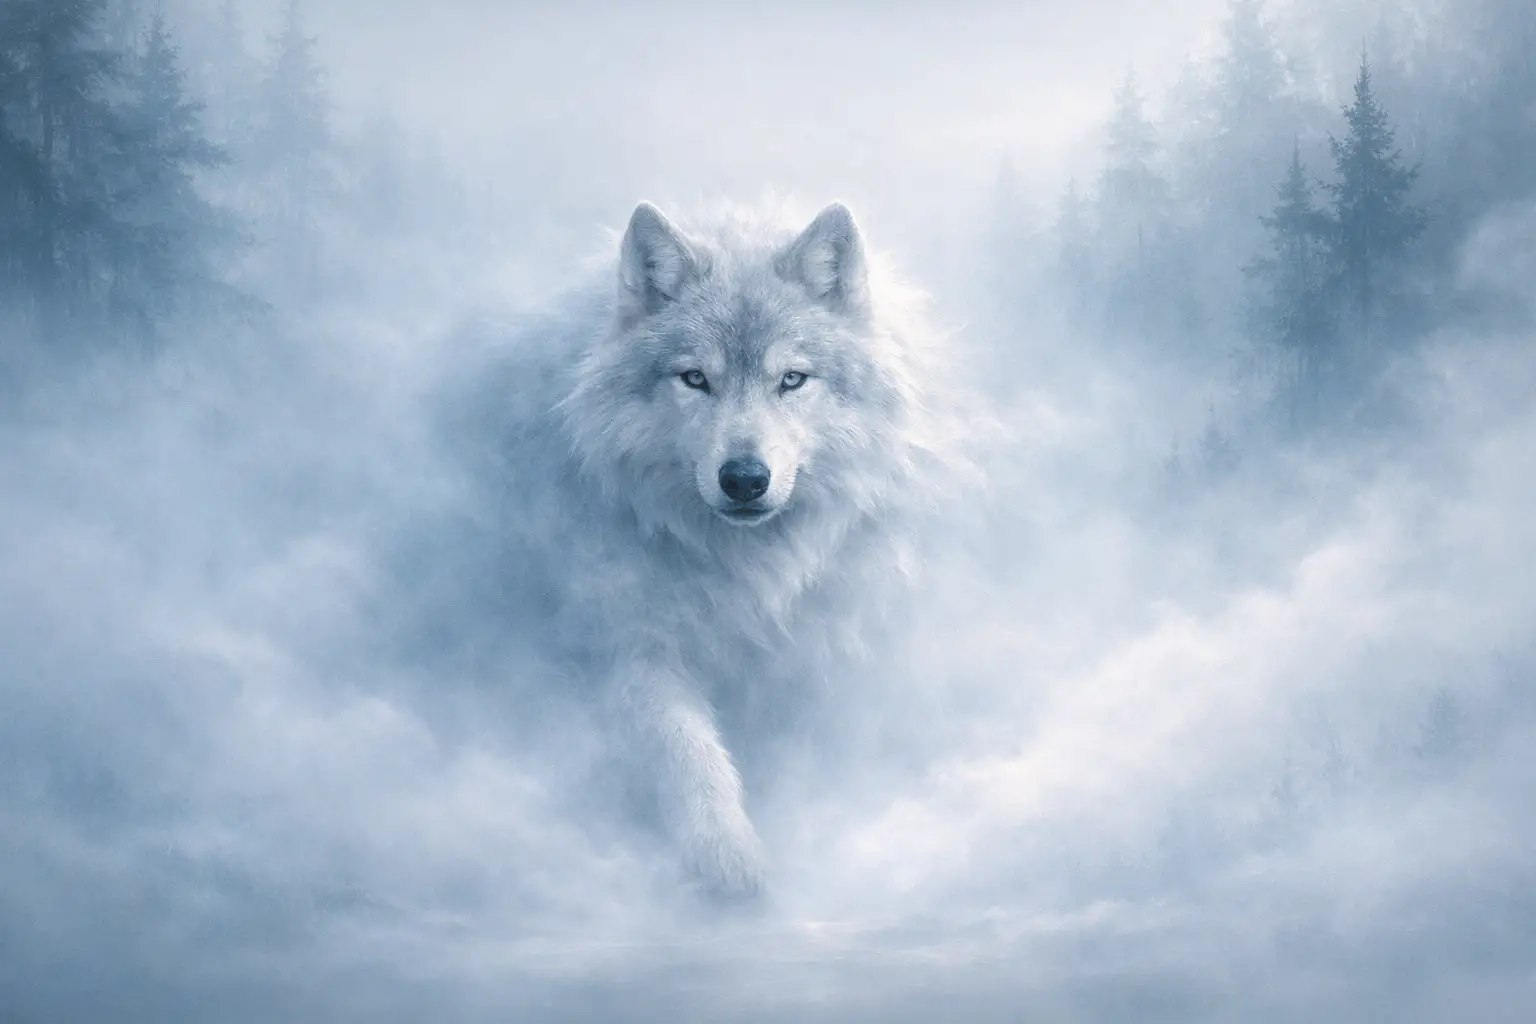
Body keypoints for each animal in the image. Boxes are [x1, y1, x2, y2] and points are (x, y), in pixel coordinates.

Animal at [443, 199, 965, 900]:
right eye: (695, 379)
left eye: (791, 379)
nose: (744, 478)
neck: (746, 572)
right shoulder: (633, 646)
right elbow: (688, 754)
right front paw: (726, 856)